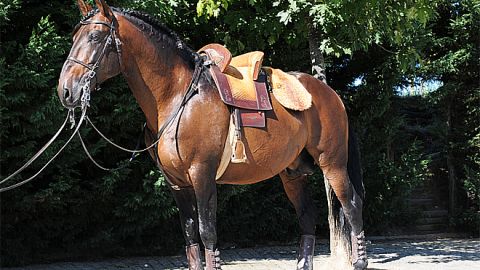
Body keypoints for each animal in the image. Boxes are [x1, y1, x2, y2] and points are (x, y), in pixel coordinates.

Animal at [58, 1, 368, 268]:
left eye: (95, 36)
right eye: (74, 36)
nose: (66, 91)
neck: (177, 97)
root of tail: (330, 94)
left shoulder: (202, 174)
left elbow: (207, 233)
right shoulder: (176, 184)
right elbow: (190, 237)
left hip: (333, 164)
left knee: (352, 205)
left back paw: (360, 260)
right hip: (293, 173)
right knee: (307, 217)